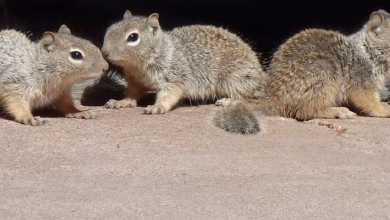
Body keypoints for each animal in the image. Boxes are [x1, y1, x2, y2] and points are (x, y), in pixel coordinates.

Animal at [100, 9, 268, 114]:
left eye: (133, 37)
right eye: (110, 28)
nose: (104, 52)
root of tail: (261, 75)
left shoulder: (175, 76)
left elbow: (170, 94)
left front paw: (157, 106)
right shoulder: (136, 81)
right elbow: (133, 93)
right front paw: (121, 101)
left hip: (233, 78)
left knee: (247, 96)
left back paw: (229, 101)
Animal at [215, 9, 390, 134]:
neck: (368, 51)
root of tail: (275, 99)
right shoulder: (362, 79)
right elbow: (368, 101)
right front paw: (385, 109)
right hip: (323, 72)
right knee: (305, 111)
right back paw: (338, 111)